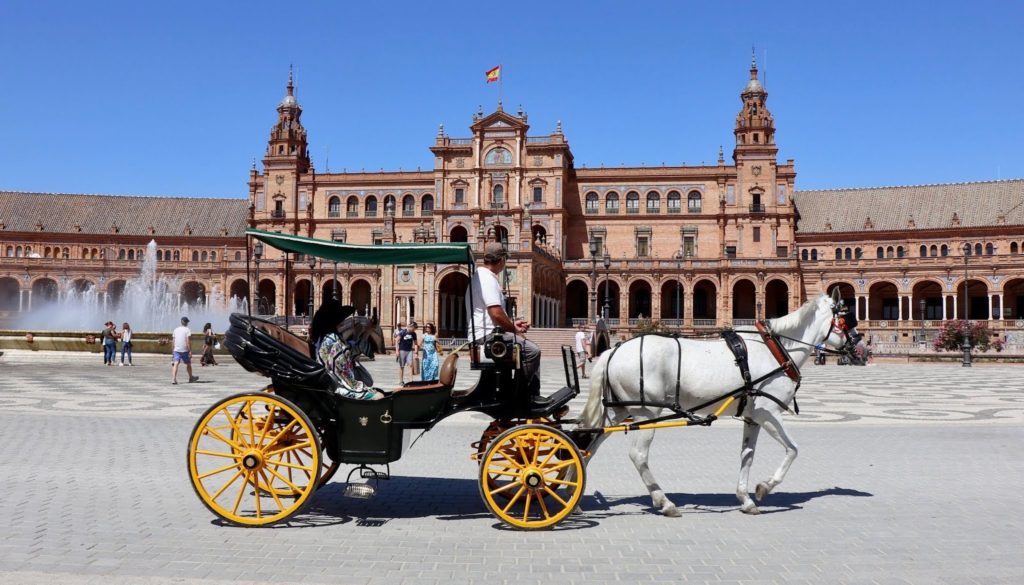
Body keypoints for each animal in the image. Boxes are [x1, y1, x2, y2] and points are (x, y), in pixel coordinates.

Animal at [581, 295, 851, 514]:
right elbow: (793, 449)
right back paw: (664, 502)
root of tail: (612, 351)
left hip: (617, 411)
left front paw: (746, 499)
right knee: (637, 455)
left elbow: (747, 455)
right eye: (846, 321)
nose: (856, 345)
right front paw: (764, 487)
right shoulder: (769, 413)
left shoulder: (753, 416)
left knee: (587, 445)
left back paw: (577, 499)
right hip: (645, 413)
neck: (776, 349)